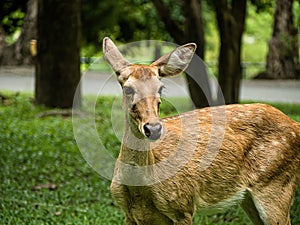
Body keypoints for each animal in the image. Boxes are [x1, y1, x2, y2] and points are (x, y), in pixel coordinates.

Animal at [102, 37, 298, 225]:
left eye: (161, 88)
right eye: (128, 89)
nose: (154, 128)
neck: (139, 189)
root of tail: (296, 125)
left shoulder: (183, 206)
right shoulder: (130, 214)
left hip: (276, 185)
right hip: (250, 198)